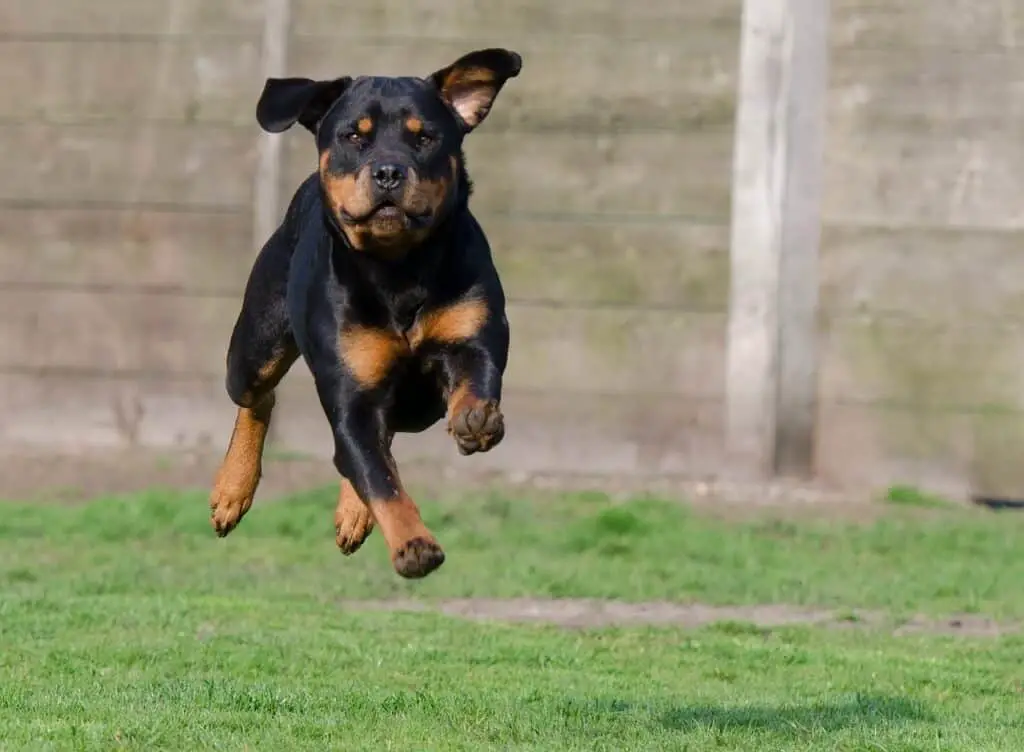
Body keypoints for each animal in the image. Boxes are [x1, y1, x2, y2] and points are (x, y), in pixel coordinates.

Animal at [210, 51, 524, 581]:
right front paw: (415, 545)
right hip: (254, 347)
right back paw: (232, 492)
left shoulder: (474, 331)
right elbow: (378, 477)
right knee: (260, 397)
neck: (398, 268)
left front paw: (474, 417)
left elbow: (475, 376)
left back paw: (352, 513)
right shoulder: (351, 390)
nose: (389, 171)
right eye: (354, 136)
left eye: (425, 137)